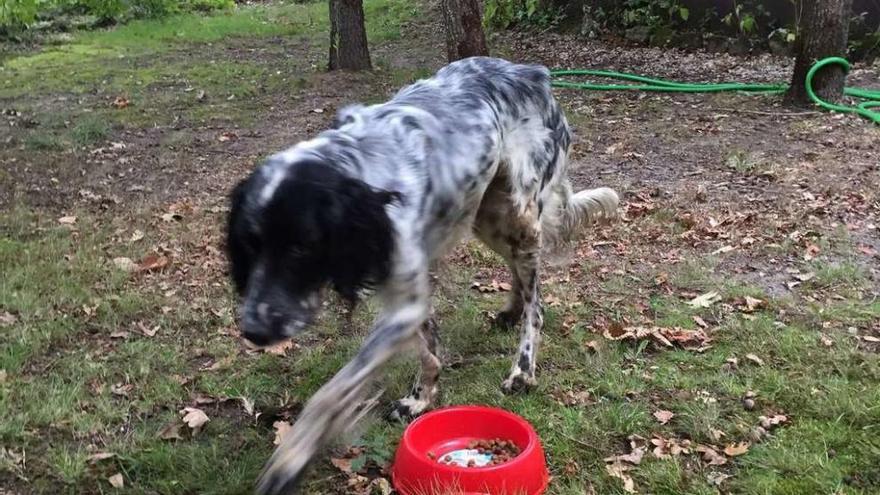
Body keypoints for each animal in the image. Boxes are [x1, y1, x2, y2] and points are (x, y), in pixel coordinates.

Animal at [227, 56, 620, 494]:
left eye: (300, 247)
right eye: (248, 245)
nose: (254, 331)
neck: (362, 173)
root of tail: (533, 72)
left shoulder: (404, 299)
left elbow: (332, 392)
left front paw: (290, 460)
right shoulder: (406, 291)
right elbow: (427, 343)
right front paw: (422, 395)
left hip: (518, 215)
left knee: (538, 304)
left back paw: (523, 368)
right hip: (487, 217)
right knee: (517, 274)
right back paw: (510, 311)